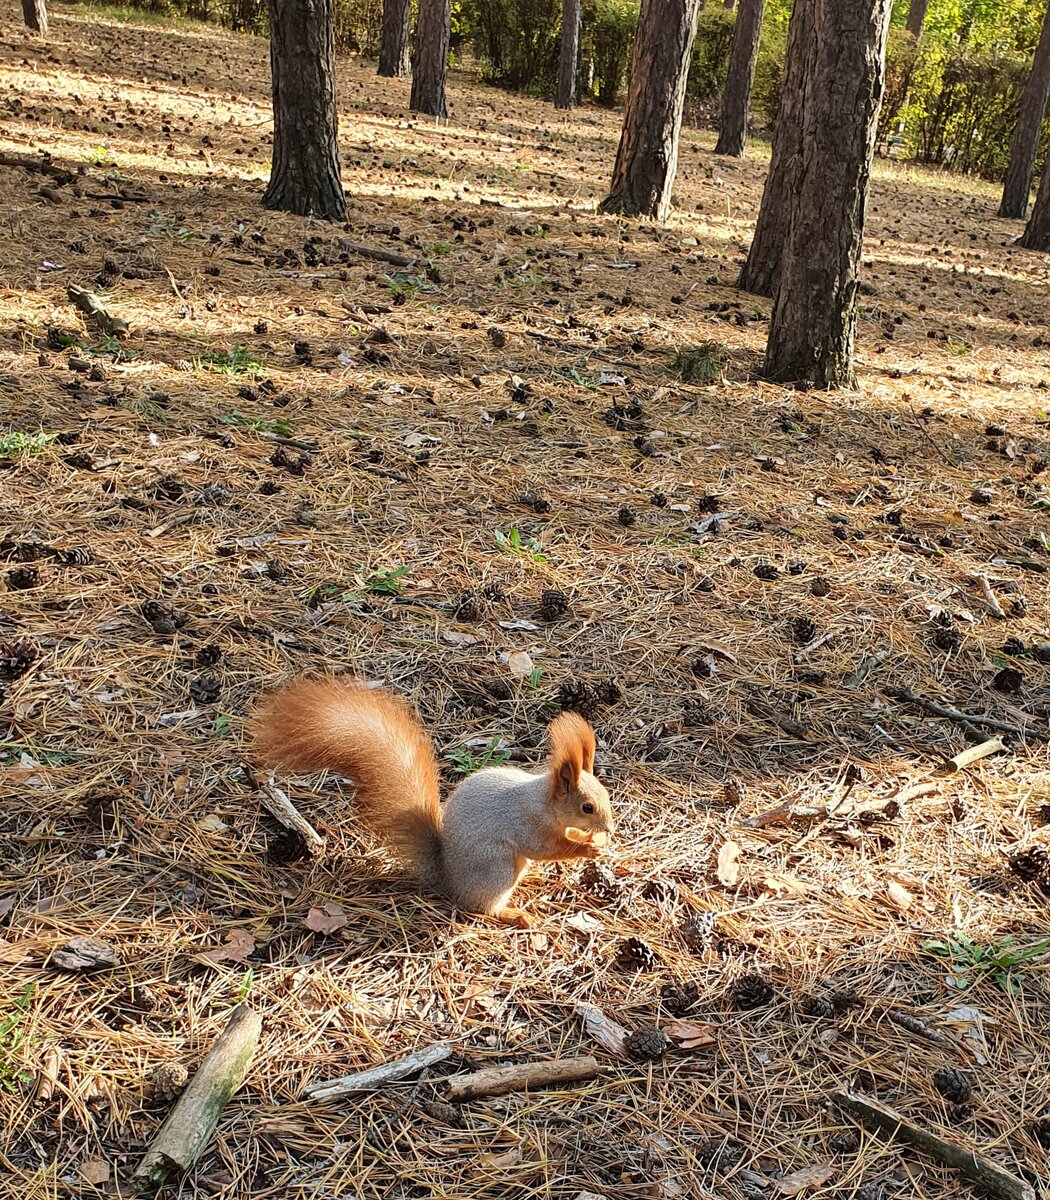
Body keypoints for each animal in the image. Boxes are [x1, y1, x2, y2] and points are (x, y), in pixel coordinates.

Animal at [252, 676, 614, 926]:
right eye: (587, 807)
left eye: (606, 795)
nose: (610, 828)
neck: (544, 802)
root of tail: (448, 879)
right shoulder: (529, 823)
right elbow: (547, 848)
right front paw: (587, 849)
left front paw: (594, 842)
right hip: (497, 870)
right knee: (484, 907)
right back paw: (514, 914)